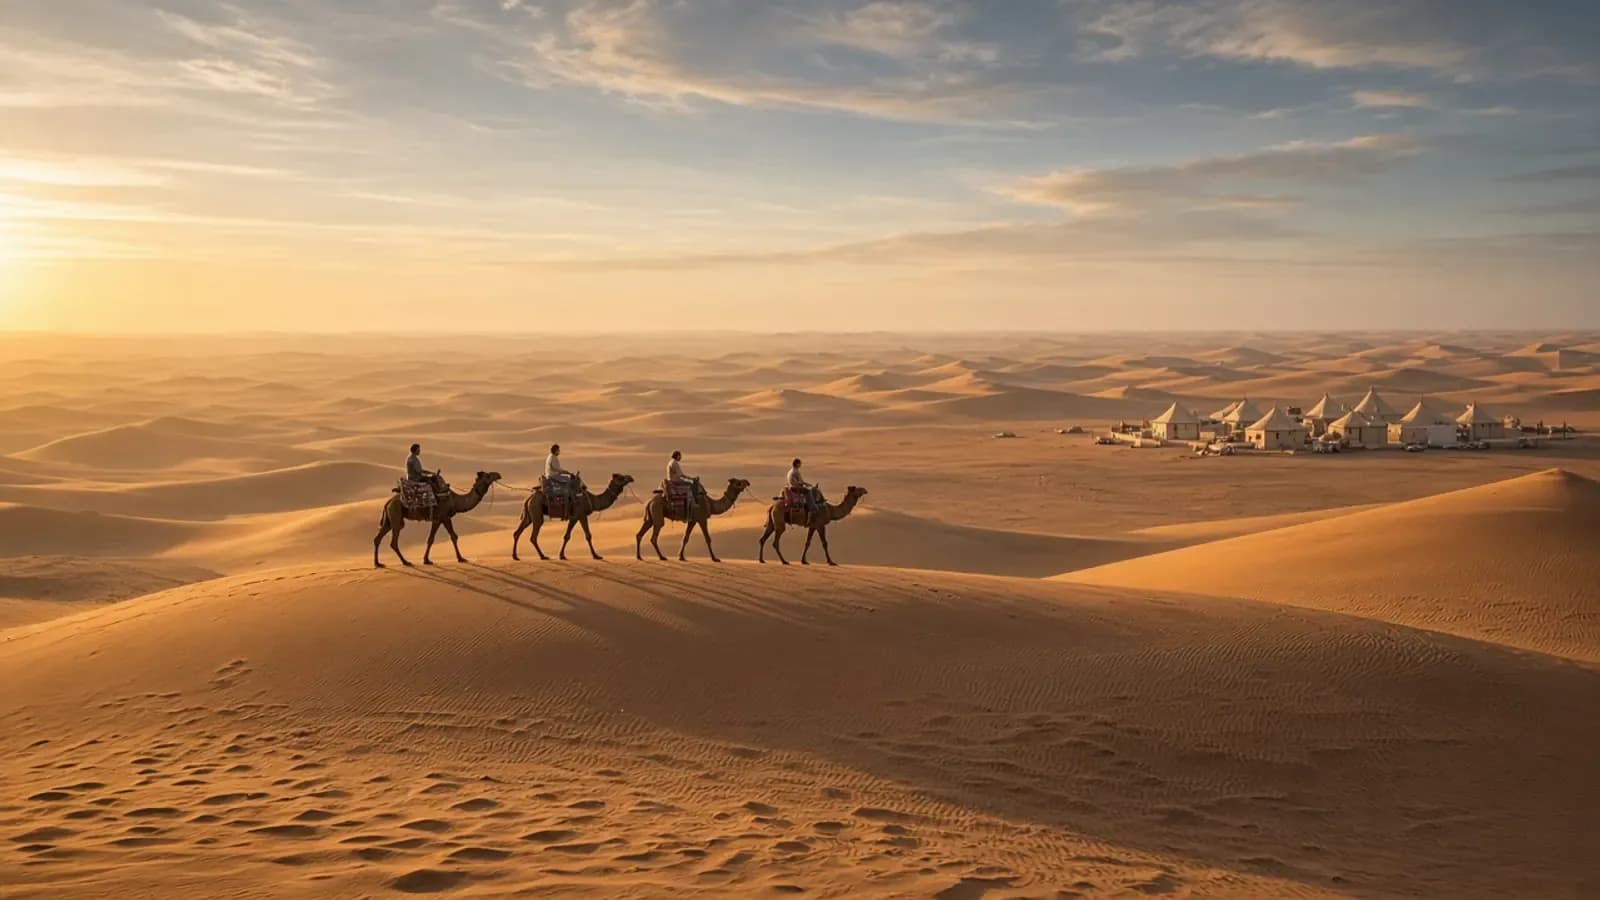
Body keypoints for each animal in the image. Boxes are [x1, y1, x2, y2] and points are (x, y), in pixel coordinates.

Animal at [374, 470, 502, 568]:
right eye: (488, 476)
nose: (498, 474)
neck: (455, 501)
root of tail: (388, 502)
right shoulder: (443, 517)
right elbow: (450, 537)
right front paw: (460, 558)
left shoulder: (440, 519)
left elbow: (434, 539)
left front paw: (427, 560)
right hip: (396, 516)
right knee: (393, 542)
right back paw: (406, 562)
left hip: (389, 520)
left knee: (377, 538)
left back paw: (378, 563)